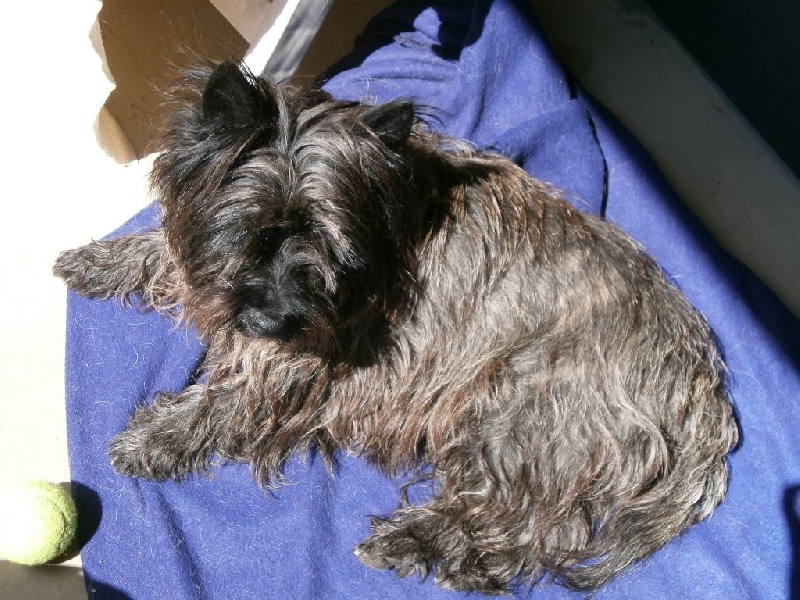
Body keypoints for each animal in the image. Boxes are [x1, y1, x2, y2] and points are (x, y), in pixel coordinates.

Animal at [54, 60, 738, 593]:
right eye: (251, 231)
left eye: (329, 249)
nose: (274, 319)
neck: (388, 218)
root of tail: (705, 394)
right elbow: (164, 252)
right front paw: (98, 260)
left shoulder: (312, 355)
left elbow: (229, 397)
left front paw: (157, 437)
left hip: (519, 409)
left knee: (538, 523)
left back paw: (419, 546)